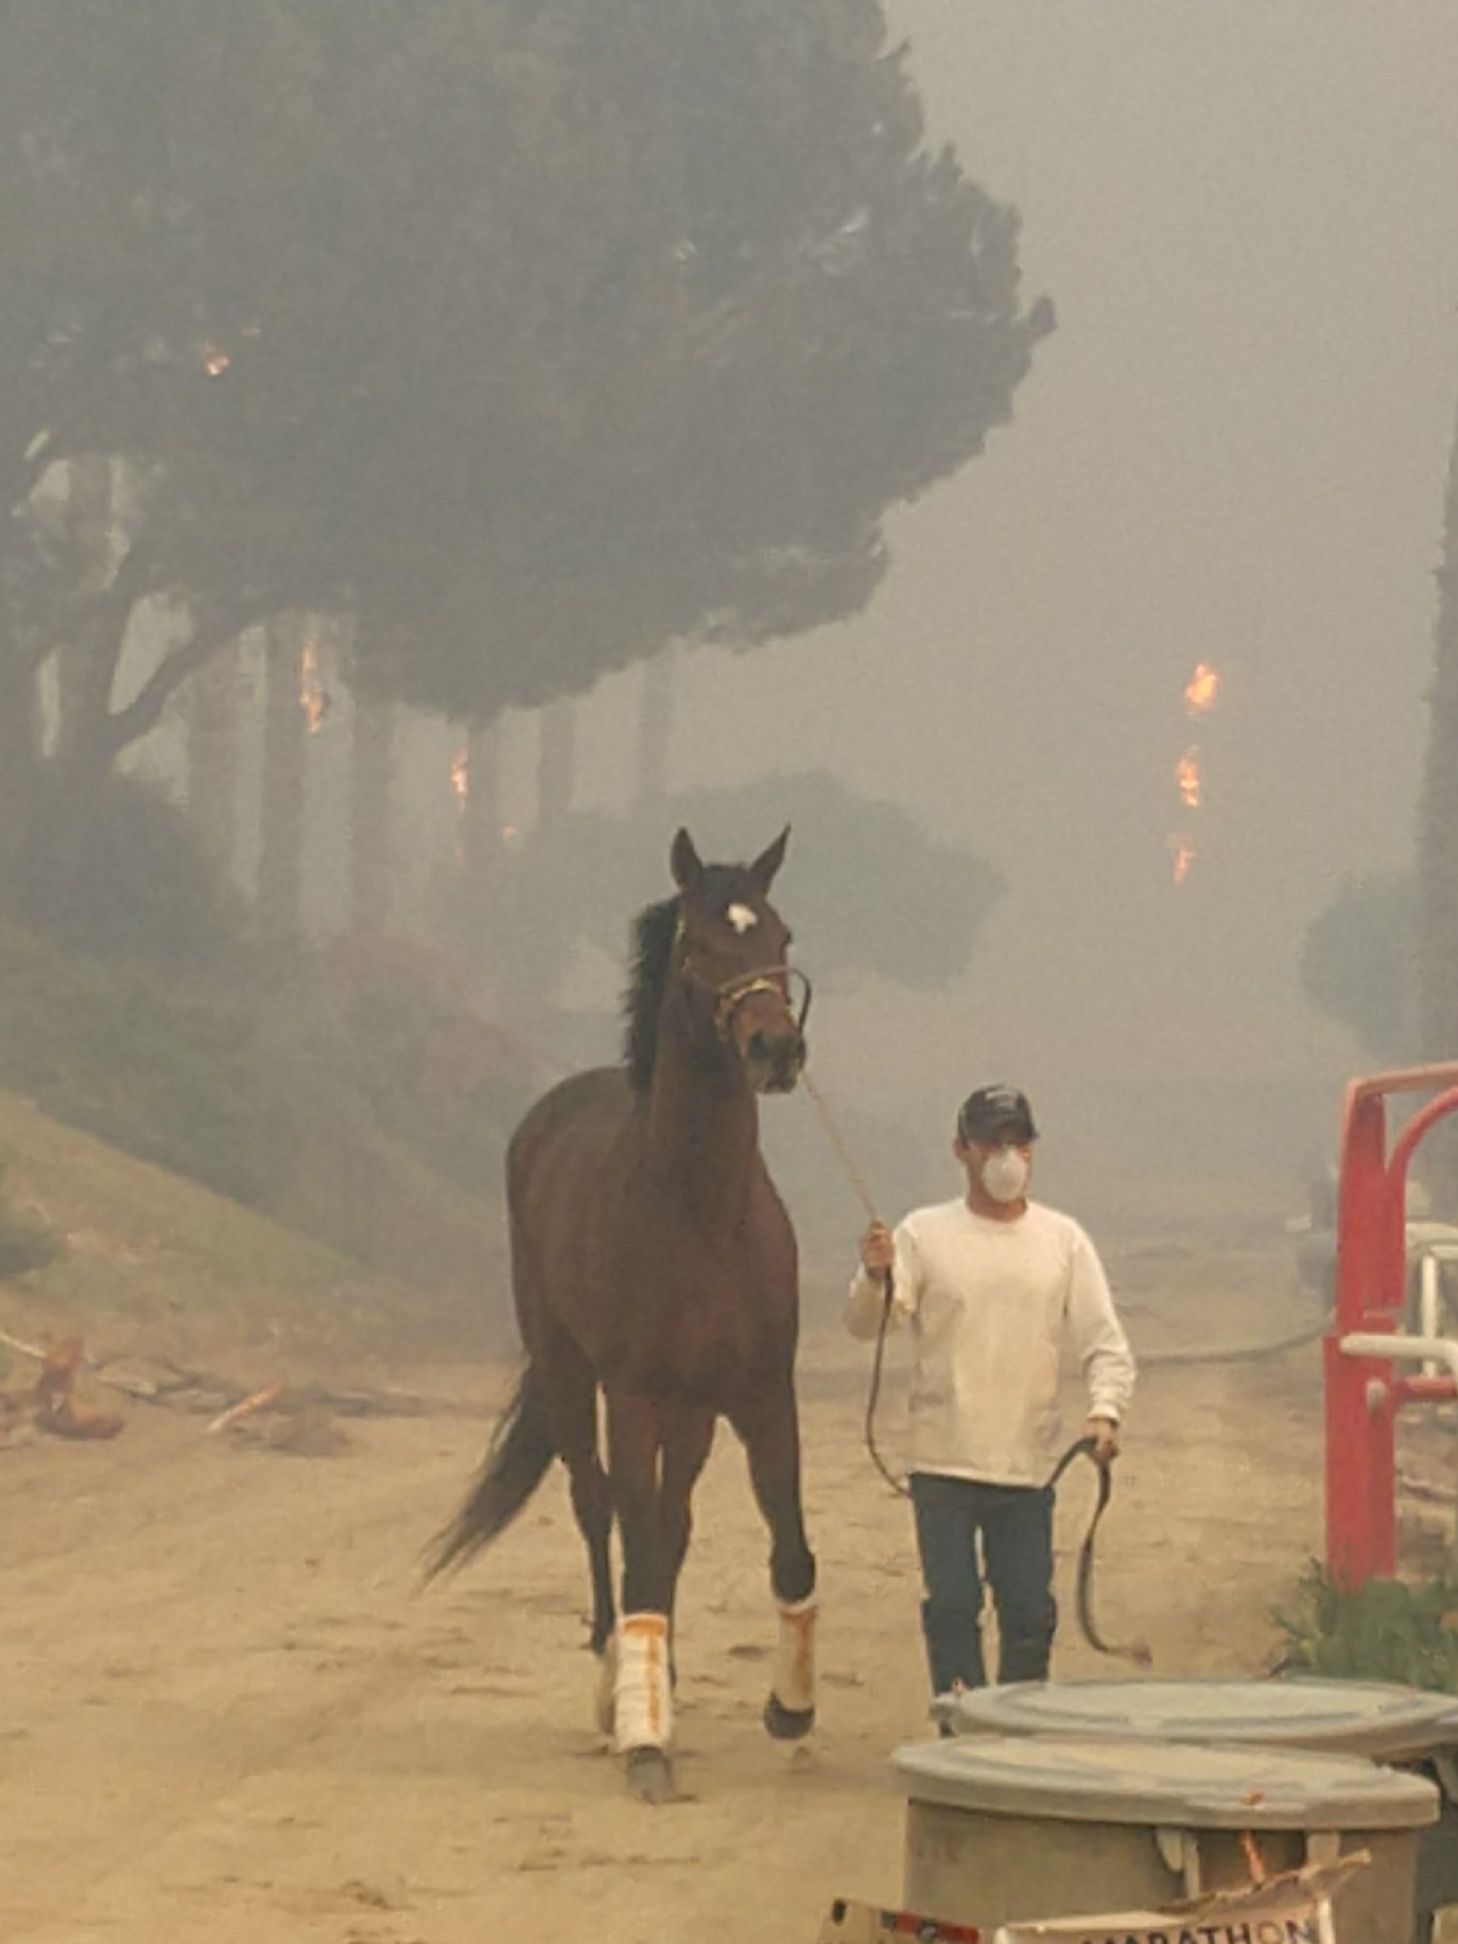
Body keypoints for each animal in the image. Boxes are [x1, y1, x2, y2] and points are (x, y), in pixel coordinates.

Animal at [433, 828, 824, 1796]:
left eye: (780, 934)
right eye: (701, 944)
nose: (776, 1048)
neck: (701, 1212)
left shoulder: (763, 1393)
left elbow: (789, 1548)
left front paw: (789, 1709)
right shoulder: (634, 1394)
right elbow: (636, 1545)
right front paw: (645, 1741)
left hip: (692, 1413)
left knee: (671, 1522)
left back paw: (666, 1676)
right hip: (574, 1379)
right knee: (600, 1509)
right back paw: (622, 1685)